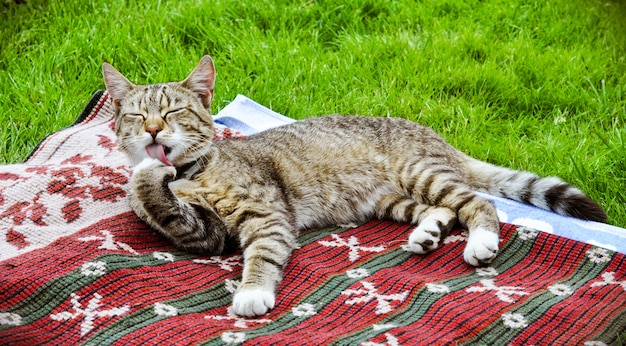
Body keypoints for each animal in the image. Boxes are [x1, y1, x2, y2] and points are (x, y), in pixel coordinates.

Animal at [101, 55, 604, 318]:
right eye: (135, 115)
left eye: (173, 112)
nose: (152, 131)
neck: (193, 174)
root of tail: (438, 138)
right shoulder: (203, 232)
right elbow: (159, 197)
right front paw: (147, 172)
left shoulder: (268, 212)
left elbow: (262, 253)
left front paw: (252, 291)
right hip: (393, 199)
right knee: (440, 211)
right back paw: (427, 234)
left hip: (421, 173)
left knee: (478, 203)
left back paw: (480, 242)